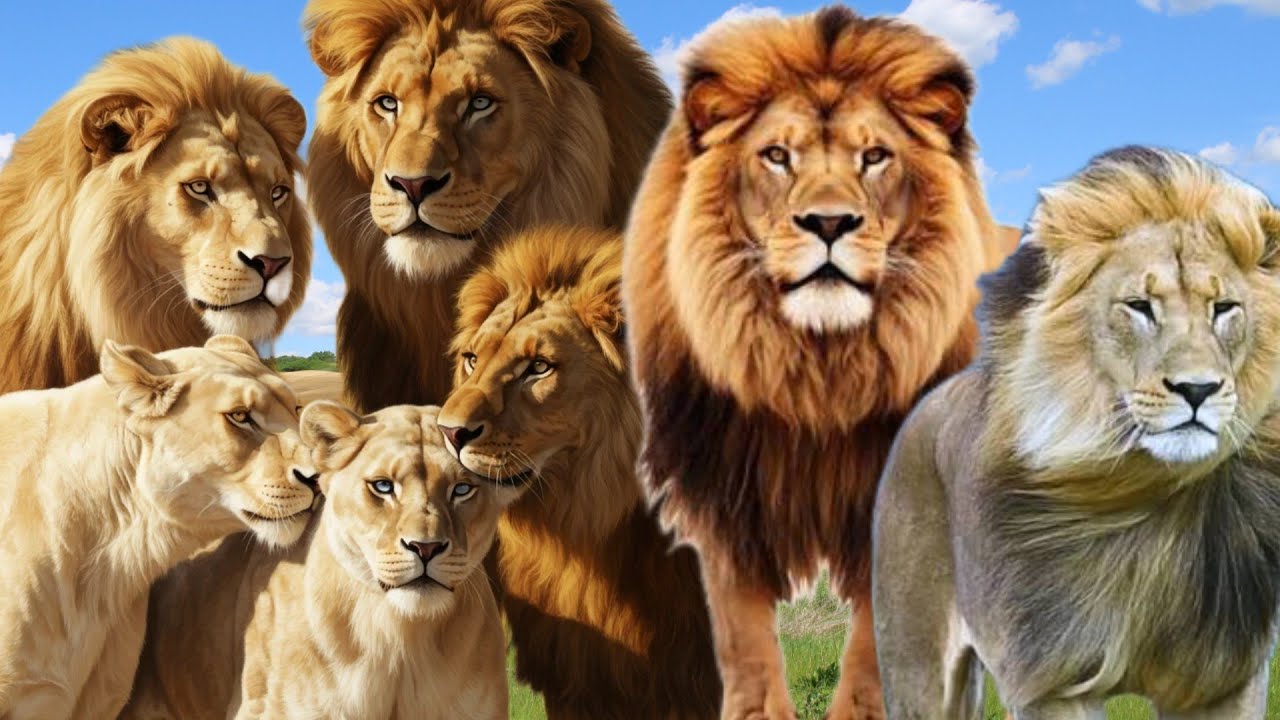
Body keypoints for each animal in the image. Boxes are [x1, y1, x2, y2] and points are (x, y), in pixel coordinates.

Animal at [622, 7, 1006, 719]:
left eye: (874, 156)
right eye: (777, 155)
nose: (829, 223)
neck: (818, 374)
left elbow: (875, 648)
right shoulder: (725, 497)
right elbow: (746, 643)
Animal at [873, 148, 1280, 717]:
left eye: (1223, 309)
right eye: (1139, 307)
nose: (1197, 389)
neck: (1150, 504)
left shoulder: (1225, 678)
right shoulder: (1053, 680)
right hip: (916, 665)